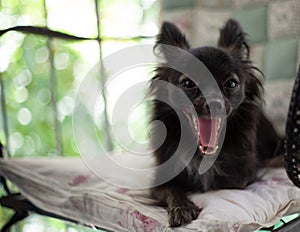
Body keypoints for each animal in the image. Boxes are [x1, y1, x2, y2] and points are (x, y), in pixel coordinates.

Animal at [150, 19, 284, 227]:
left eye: (231, 83)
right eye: (188, 84)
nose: (214, 103)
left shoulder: (242, 175)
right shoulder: (160, 180)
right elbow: (172, 190)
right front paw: (181, 208)